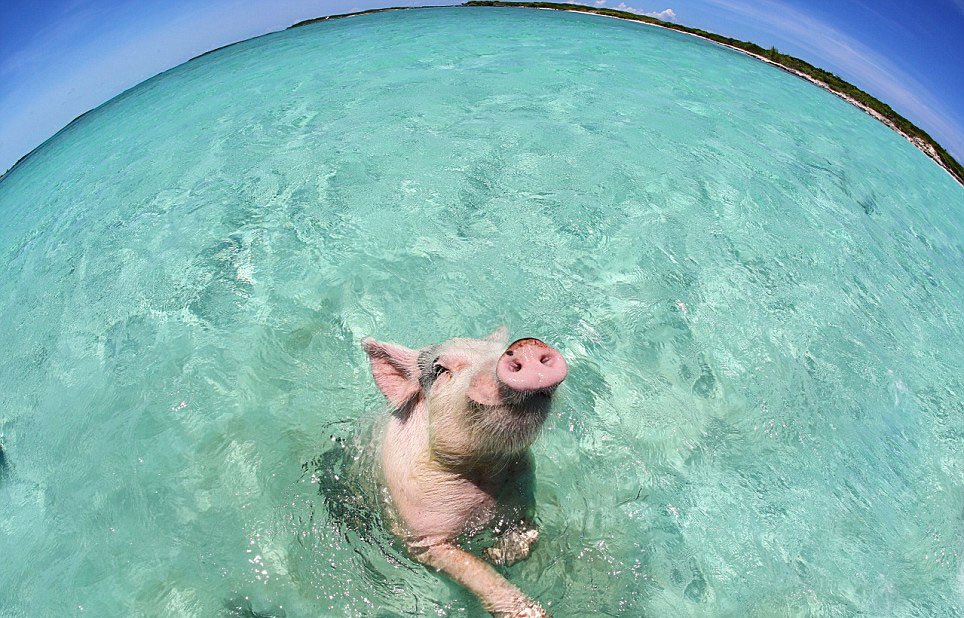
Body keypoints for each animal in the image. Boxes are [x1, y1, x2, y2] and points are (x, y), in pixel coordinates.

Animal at [361, 327, 568, 618]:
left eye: (501, 348)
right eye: (439, 369)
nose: (526, 345)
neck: (483, 474)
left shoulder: (523, 490)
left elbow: (529, 535)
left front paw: (498, 554)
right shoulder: (420, 533)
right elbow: (472, 567)